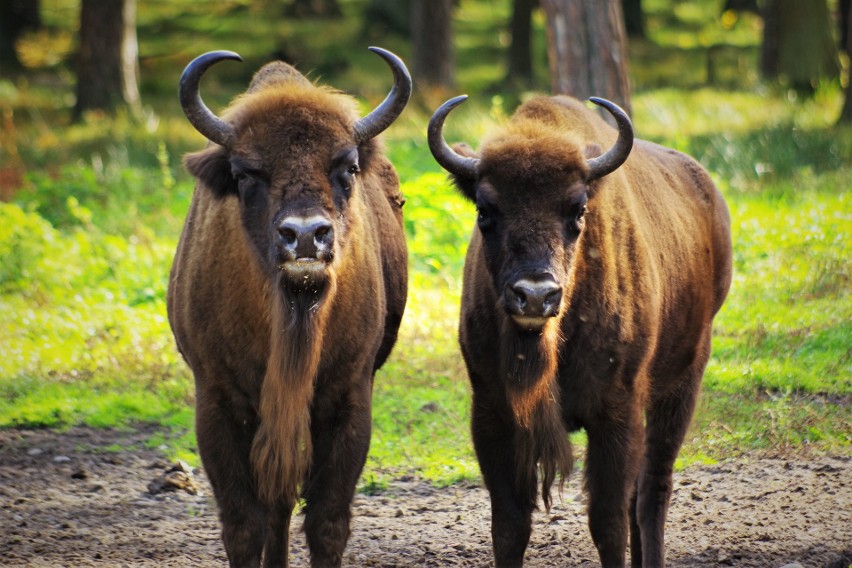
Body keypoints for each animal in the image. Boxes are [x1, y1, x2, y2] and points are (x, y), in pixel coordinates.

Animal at [167, 48, 412, 568]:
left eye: (347, 167)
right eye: (245, 173)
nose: (304, 236)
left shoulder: (346, 399)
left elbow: (326, 522)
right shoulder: (217, 401)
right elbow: (243, 525)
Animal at [430, 95, 736, 564]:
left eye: (578, 210)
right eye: (485, 210)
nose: (535, 295)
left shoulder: (616, 412)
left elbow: (607, 522)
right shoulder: (492, 412)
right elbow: (510, 524)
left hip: (682, 384)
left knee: (652, 492)